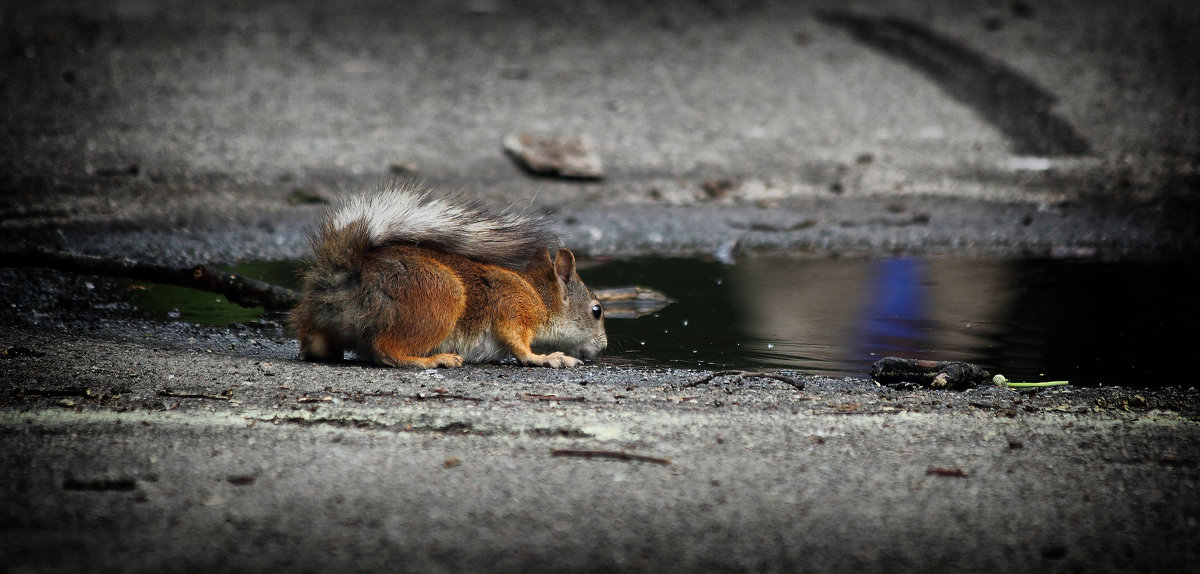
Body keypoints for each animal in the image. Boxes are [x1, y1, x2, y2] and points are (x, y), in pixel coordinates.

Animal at [289, 186, 604, 369]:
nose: (603, 346)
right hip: (438, 298)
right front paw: (549, 358)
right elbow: (518, 345)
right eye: (597, 311)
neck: (539, 295)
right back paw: (435, 360)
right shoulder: (512, 306)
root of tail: (345, 280)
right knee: (384, 351)